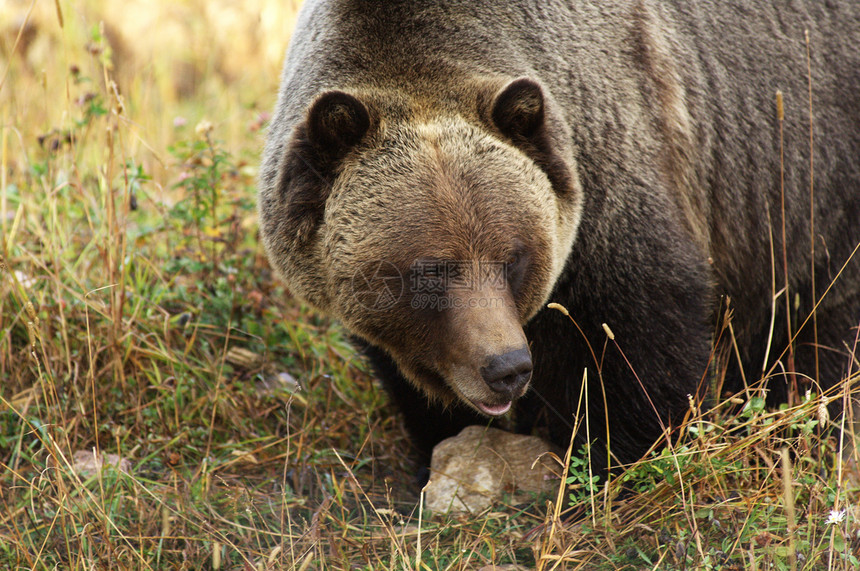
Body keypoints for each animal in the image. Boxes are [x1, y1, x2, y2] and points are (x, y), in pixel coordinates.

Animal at [260, 0, 860, 470]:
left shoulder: (610, 171)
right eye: (427, 269)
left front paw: (620, 460)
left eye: (513, 257)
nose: (506, 368)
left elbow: (641, 343)